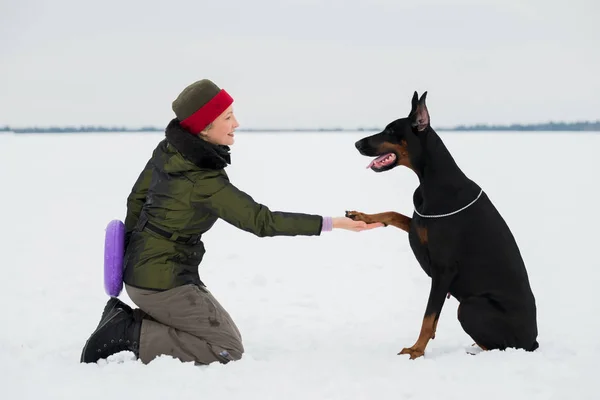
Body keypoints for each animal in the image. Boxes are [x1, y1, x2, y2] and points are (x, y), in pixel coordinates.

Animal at [346, 93, 540, 360]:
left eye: (390, 130)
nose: (356, 143)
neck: (433, 179)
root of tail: (533, 341)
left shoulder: (444, 269)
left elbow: (428, 317)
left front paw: (416, 350)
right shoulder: (419, 226)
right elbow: (393, 215)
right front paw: (362, 216)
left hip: (470, 306)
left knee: (499, 346)